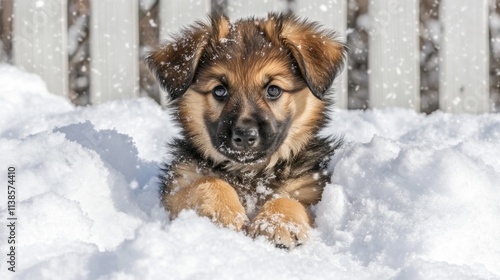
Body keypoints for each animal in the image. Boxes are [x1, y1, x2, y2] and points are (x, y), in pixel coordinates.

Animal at [146, 12, 346, 249]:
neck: (251, 173)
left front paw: (276, 223)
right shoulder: (177, 187)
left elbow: (289, 198)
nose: (244, 135)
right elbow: (207, 181)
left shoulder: (311, 190)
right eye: (220, 91)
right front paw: (223, 212)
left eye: (273, 90)